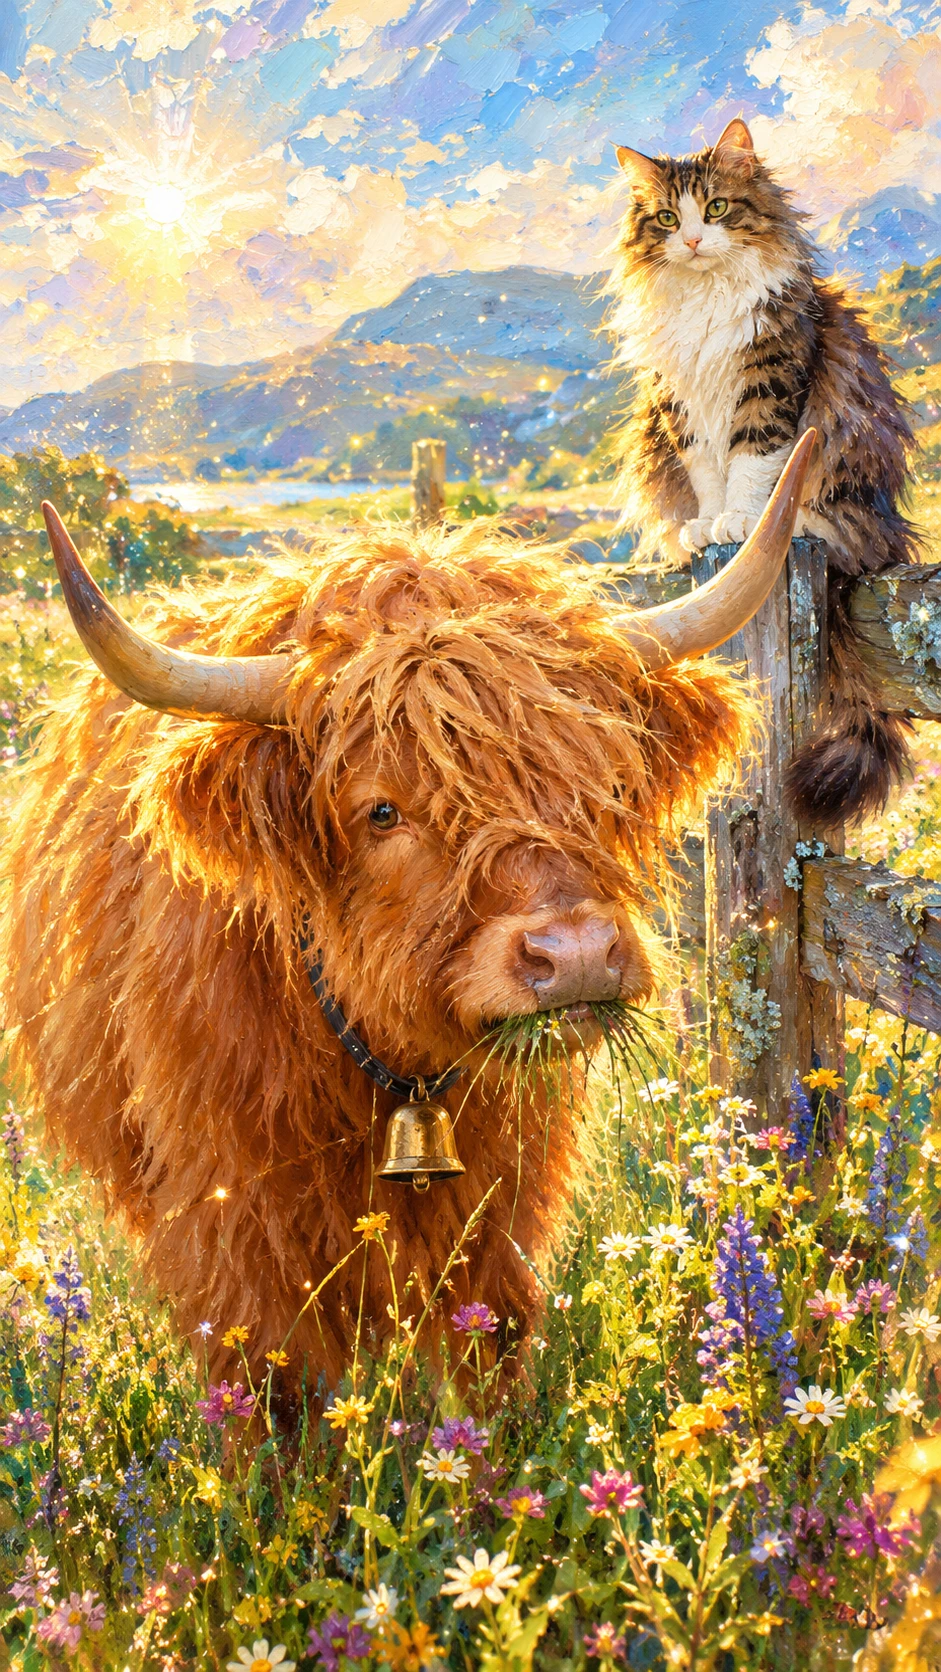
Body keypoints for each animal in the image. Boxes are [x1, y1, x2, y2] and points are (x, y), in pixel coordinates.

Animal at [0, 433, 813, 1391]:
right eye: (381, 811)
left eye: (607, 784)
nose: (576, 953)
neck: (391, 1072)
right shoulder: (231, 1229)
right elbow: (273, 1387)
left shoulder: (501, 1206)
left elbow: (487, 1347)